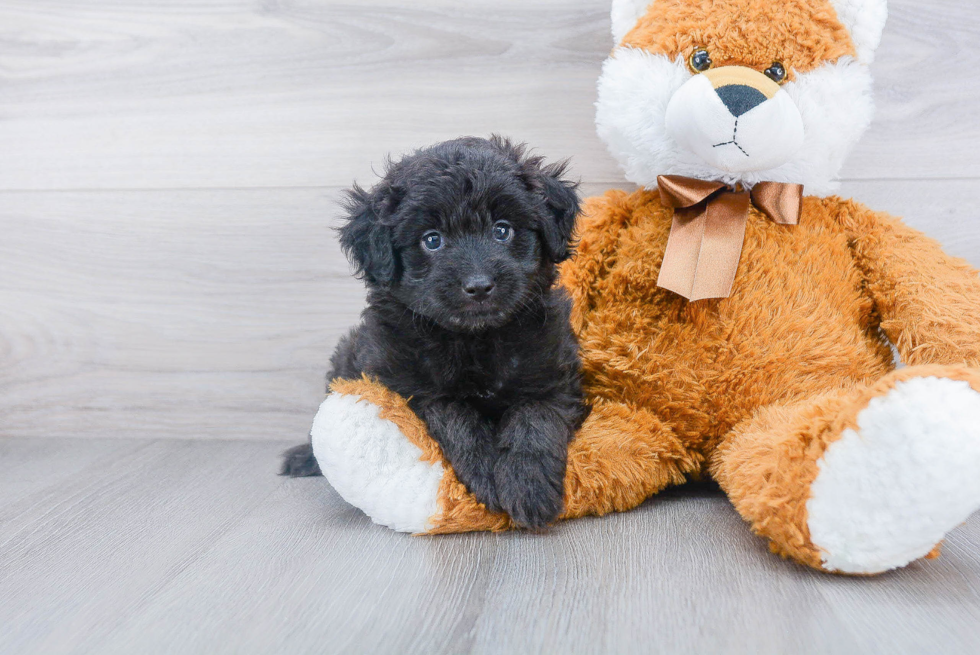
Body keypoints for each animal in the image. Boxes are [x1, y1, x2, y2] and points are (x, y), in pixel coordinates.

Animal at [284, 136, 588, 532]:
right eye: (432, 240)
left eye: (502, 230)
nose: (479, 286)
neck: (475, 339)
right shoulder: (406, 385)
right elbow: (454, 414)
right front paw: (486, 474)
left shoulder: (553, 375)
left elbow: (534, 419)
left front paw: (528, 486)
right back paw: (304, 457)